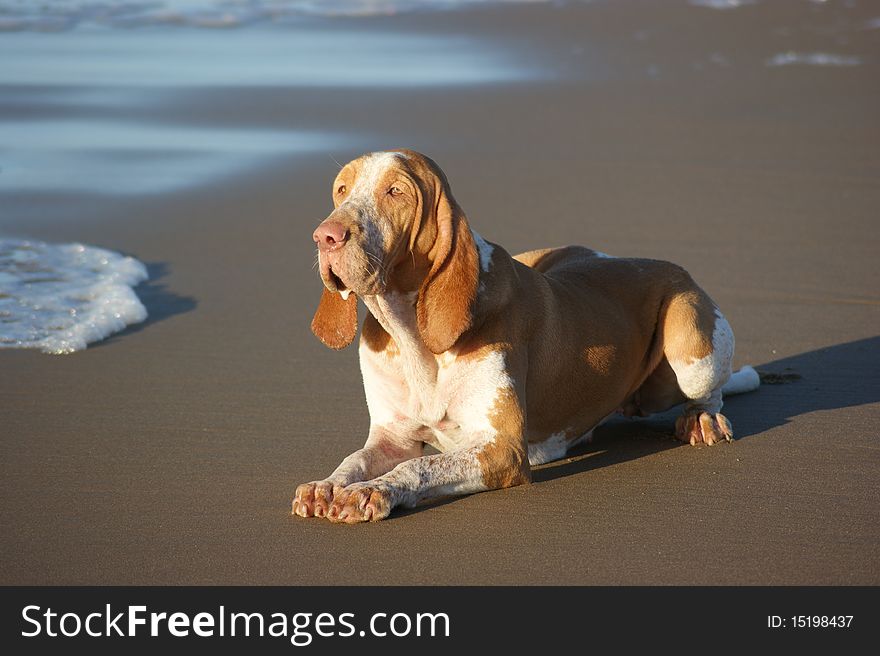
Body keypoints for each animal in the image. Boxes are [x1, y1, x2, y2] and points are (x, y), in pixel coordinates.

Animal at [292, 149, 760, 524]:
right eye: (341, 190)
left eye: (395, 191)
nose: (325, 236)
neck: (410, 333)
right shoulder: (392, 438)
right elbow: (355, 459)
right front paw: (329, 485)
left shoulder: (502, 449)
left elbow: (418, 468)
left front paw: (372, 490)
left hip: (690, 352)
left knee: (710, 390)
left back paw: (702, 419)